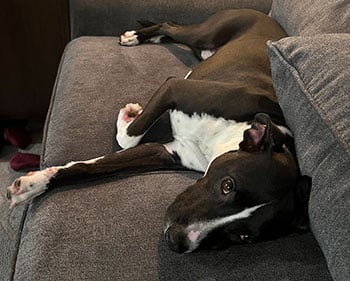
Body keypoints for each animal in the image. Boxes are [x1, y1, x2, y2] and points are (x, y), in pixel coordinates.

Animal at [6, 9, 310, 252]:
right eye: (228, 185)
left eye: (244, 236)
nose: (177, 240)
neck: (224, 139)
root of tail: (263, 13)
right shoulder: (173, 87)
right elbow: (127, 138)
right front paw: (128, 116)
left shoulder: (166, 152)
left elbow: (94, 165)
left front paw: (34, 183)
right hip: (205, 33)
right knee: (169, 24)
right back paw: (136, 36)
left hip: (203, 49)